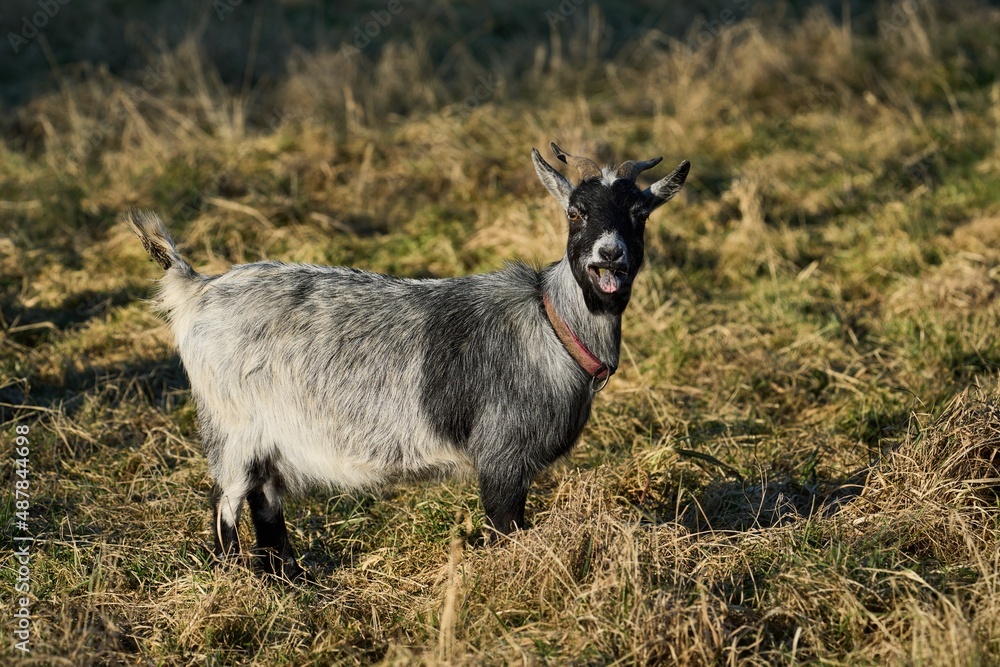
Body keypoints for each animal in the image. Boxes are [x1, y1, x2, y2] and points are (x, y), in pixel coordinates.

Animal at [125, 143, 689, 580]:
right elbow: (506, 531)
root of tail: (196, 289)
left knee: (266, 501)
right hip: (232, 427)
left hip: (265, 437)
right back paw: (238, 583)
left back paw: (287, 579)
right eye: (575, 212)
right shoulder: (502, 458)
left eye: (639, 214)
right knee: (226, 504)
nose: (609, 255)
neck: (553, 324)